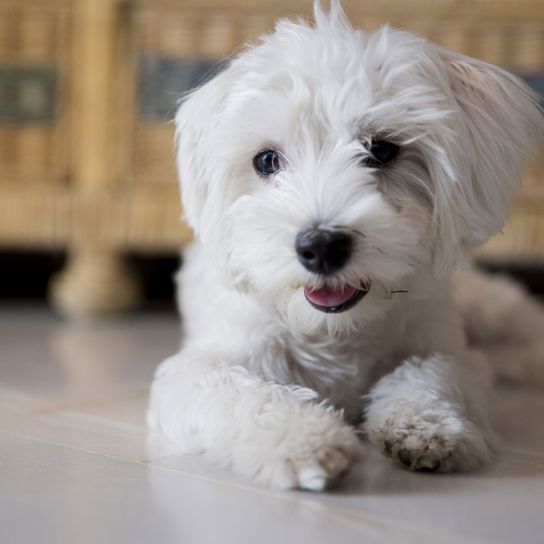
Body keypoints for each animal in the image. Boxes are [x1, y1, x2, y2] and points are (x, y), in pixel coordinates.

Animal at [147, 2, 540, 490]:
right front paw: (304, 438)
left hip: (488, 307)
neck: (336, 332)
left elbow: (433, 372)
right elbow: (246, 395)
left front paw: (423, 422)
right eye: (266, 161)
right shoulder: (199, 368)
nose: (321, 246)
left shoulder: (448, 349)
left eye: (381, 150)